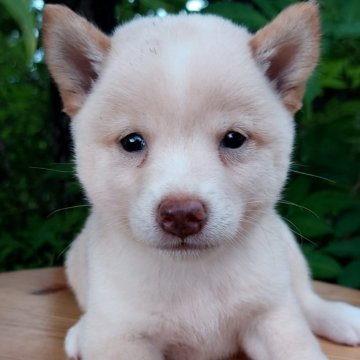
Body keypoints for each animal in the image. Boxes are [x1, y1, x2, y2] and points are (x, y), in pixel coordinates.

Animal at [43, 2, 360, 360]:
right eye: (132, 142)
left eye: (234, 139)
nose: (182, 214)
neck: (194, 276)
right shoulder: (120, 336)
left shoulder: (272, 316)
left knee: (305, 298)